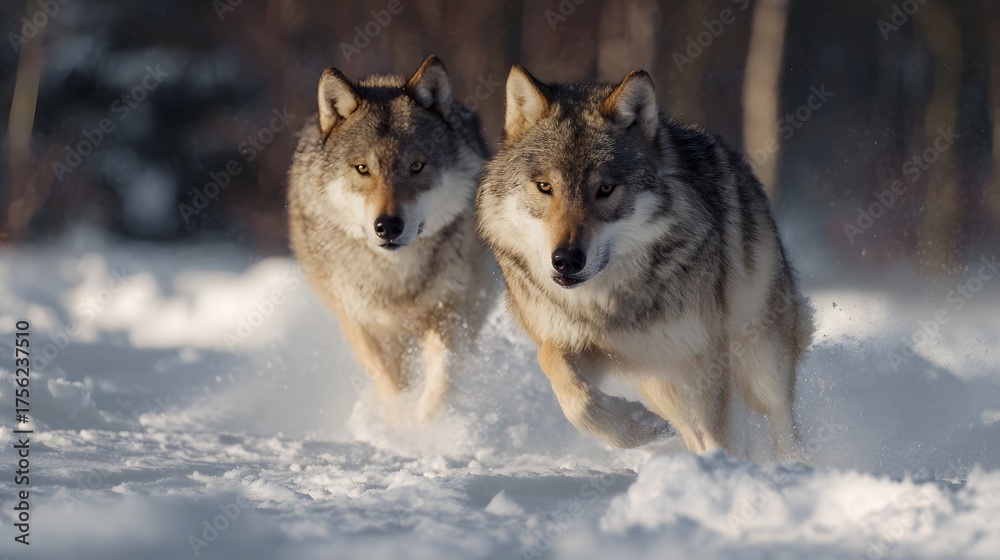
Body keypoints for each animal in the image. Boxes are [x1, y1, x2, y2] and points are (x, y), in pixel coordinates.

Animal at [288, 56, 495, 424]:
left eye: (416, 166)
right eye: (362, 169)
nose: (387, 226)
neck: (395, 275)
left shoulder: (450, 307)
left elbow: (444, 372)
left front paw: (428, 423)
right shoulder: (361, 322)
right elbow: (390, 383)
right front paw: (401, 425)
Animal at [476, 65, 814, 459]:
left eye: (605, 189)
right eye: (545, 187)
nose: (566, 260)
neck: (612, 302)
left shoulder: (704, 355)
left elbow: (721, 433)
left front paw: (721, 468)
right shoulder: (579, 345)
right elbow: (570, 390)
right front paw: (636, 429)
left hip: (761, 361)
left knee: (780, 422)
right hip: (661, 384)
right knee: (691, 429)